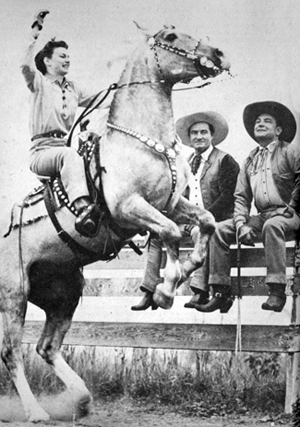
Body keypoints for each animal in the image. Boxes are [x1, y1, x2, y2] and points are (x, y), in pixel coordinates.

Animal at [0, 25, 230, 422]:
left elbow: (206, 222)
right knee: (12, 351)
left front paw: (177, 277)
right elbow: (170, 233)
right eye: (171, 35)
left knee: (47, 347)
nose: (216, 54)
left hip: (64, 293)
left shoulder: (170, 204)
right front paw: (165, 290)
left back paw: (80, 399)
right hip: (15, 294)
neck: (139, 143)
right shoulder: (130, 208)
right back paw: (36, 411)